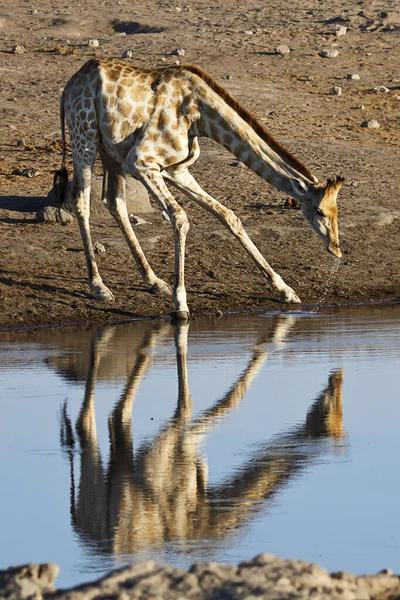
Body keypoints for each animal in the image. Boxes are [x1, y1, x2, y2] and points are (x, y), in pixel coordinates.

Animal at [54, 59, 344, 318]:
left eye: (336, 211)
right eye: (319, 212)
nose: (336, 248)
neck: (200, 114)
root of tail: (69, 85)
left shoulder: (175, 169)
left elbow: (229, 216)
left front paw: (285, 290)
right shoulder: (141, 161)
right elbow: (180, 217)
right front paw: (181, 303)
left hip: (111, 152)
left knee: (114, 201)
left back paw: (154, 281)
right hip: (85, 138)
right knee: (81, 201)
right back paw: (99, 286)